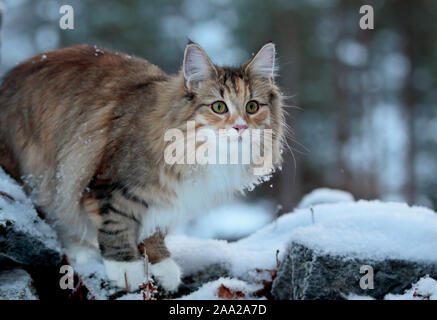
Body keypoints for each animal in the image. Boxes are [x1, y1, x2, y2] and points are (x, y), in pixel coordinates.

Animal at [0, 42, 284, 292]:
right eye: (218, 107)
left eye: (252, 107)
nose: (240, 127)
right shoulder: (108, 185)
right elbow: (117, 224)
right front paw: (126, 268)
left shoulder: (167, 199)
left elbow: (153, 230)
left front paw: (161, 263)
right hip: (43, 174)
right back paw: (81, 251)